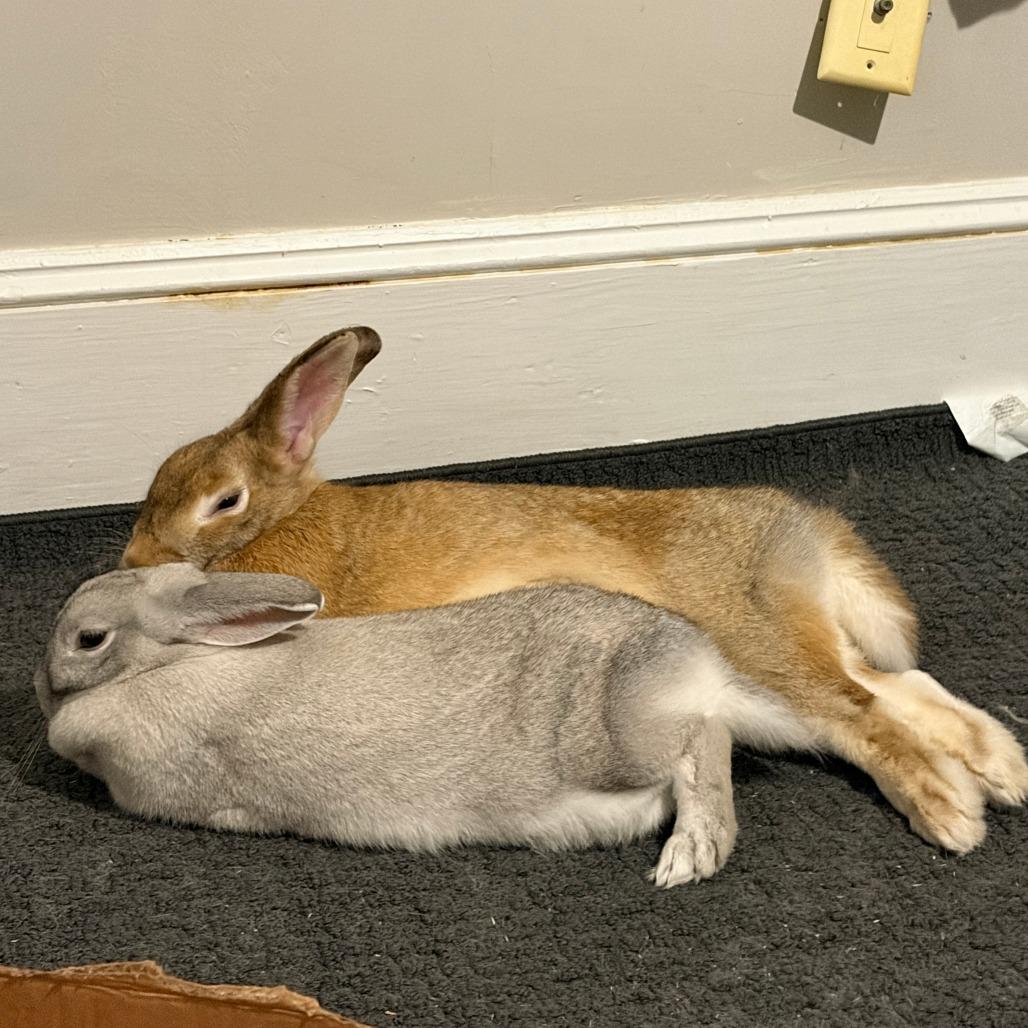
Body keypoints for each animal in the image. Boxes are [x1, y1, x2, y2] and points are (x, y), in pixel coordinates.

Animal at [34, 564, 824, 887]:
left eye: (88, 639)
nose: (41, 689)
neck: (168, 662)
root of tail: (701, 662)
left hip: (618, 740)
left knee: (706, 742)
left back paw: (690, 856)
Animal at [120, 328, 1028, 855]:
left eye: (223, 500)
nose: (135, 555)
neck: (278, 518)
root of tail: (794, 527)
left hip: (743, 639)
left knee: (858, 712)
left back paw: (952, 813)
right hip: (786, 634)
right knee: (889, 682)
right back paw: (1003, 771)